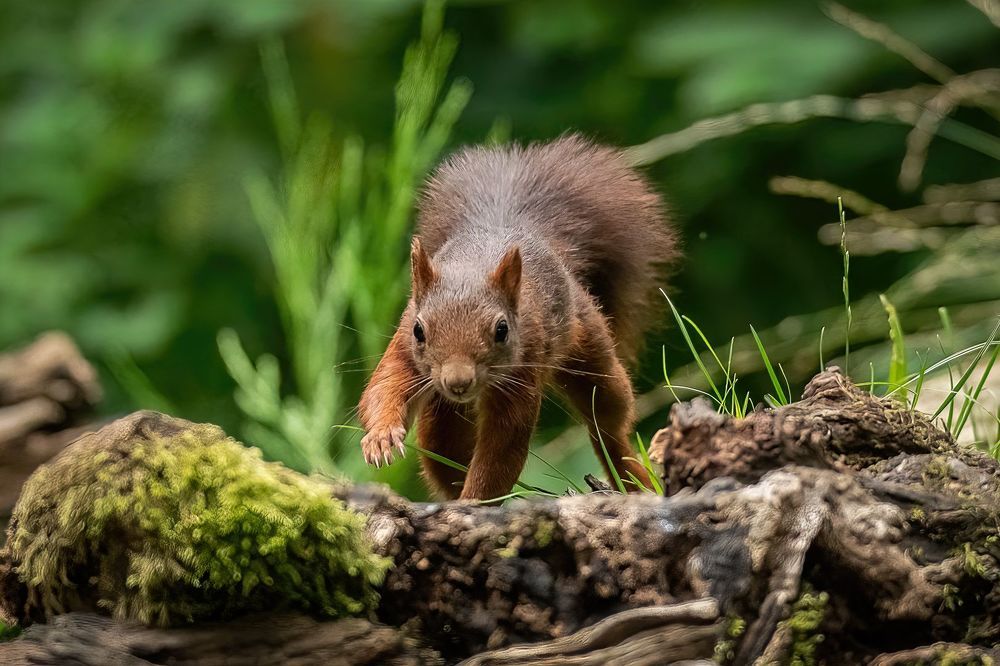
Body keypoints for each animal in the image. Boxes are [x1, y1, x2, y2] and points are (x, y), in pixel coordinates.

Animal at [358, 134, 677, 501]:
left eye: (502, 330)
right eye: (418, 331)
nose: (458, 381)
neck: (474, 264)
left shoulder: (523, 370)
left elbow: (502, 450)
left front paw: (473, 502)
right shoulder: (404, 348)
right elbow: (382, 389)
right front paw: (381, 438)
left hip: (591, 347)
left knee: (607, 423)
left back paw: (630, 475)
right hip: (442, 413)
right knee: (443, 448)